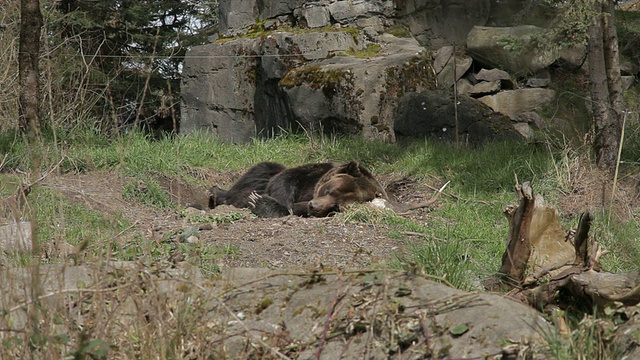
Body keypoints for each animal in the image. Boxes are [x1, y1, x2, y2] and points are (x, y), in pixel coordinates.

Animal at [209, 162, 384, 218]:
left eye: (335, 207)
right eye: (328, 191)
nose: (314, 206)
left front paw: (261, 203)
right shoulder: (314, 173)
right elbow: (284, 179)